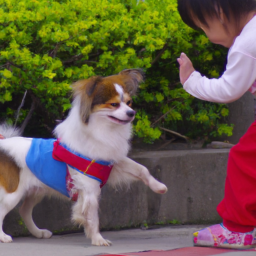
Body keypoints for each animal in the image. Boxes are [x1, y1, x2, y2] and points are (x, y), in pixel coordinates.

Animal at [0, 68, 168, 246]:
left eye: (129, 103)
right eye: (114, 104)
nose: (132, 113)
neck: (103, 129)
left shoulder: (112, 164)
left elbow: (142, 169)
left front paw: (158, 186)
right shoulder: (89, 186)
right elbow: (92, 216)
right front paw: (98, 239)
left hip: (35, 191)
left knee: (24, 210)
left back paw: (38, 232)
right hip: (14, 193)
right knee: (3, 210)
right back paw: (3, 236)